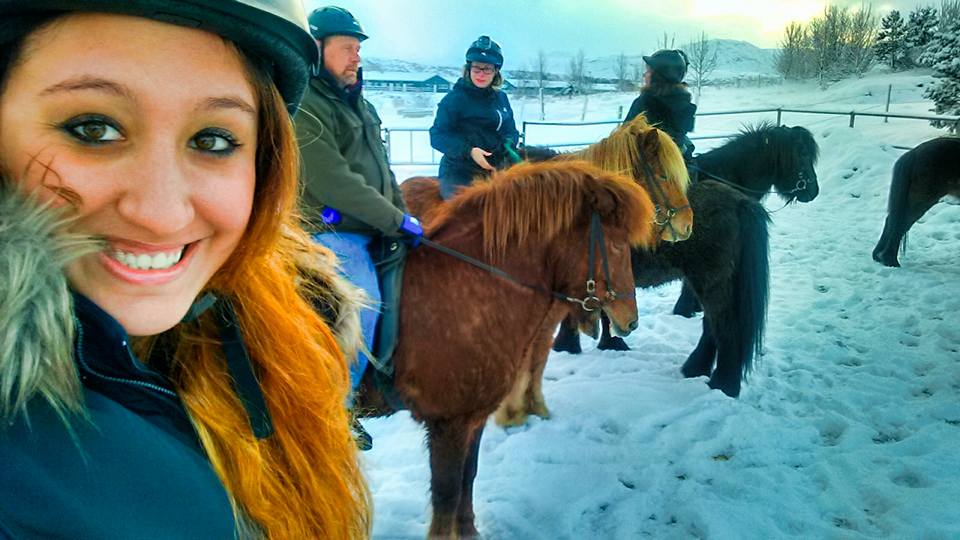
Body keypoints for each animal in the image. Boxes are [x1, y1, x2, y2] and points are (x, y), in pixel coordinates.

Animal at [356, 161, 656, 540]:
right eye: (617, 246)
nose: (631, 320)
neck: (463, 292)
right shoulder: (448, 424)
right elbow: (446, 495)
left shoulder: (473, 417)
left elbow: (467, 480)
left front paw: (469, 532)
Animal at [552, 181, 768, 396]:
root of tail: (740, 202)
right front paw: (609, 344)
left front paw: (566, 346)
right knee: (711, 327)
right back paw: (695, 369)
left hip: (711, 282)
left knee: (725, 328)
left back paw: (723, 385)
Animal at [872, 137, 960, 268]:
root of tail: (914, 152)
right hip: (922, 200)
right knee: (900, 224)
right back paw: (890, 261)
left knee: (892, 221)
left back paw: (879, 257)